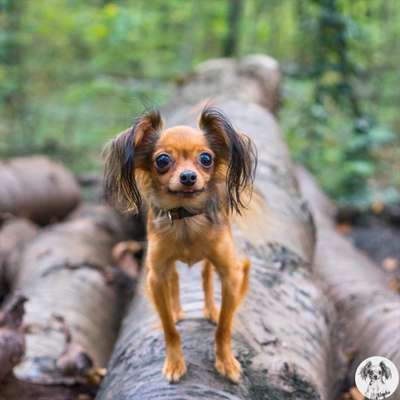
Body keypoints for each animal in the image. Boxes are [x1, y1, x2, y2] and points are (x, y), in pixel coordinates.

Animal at [104, 108, 256, 382]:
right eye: (163, 160)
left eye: (206, 158)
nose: (188, 177)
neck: (186, 218)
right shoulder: (156, 275)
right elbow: (169, 328)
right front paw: (175, 362)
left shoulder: (231, 274)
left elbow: (224, 326)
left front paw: (226, 362)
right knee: (174, 279)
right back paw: (176, 309)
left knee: (206, 275)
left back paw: (210, 309)